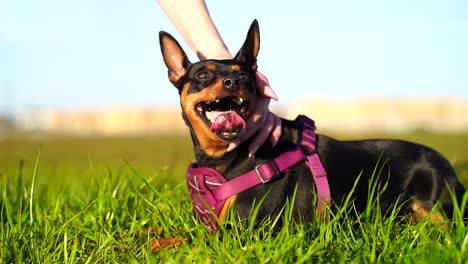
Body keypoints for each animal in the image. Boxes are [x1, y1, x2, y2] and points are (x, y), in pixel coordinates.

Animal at [159, 20, 466, 229]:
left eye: (245, 76)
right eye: (203, 74)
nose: (233, 81)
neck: (225, 158)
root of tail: (447, 165)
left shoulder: (247, 230)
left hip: (438, 208)